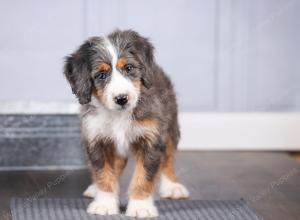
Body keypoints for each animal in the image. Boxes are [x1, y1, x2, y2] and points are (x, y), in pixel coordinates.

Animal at [63, 29, 189, 218]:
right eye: (101, 75)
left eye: (128, 68)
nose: (122, 98)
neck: (119, 115)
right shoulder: (97, 139)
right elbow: (104, 174)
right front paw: (105, 203)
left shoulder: (151, 139)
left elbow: (144, 177)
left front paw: (140, 206)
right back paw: (95, 189)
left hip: (170, 125)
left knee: (168, 157)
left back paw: (172, 186)